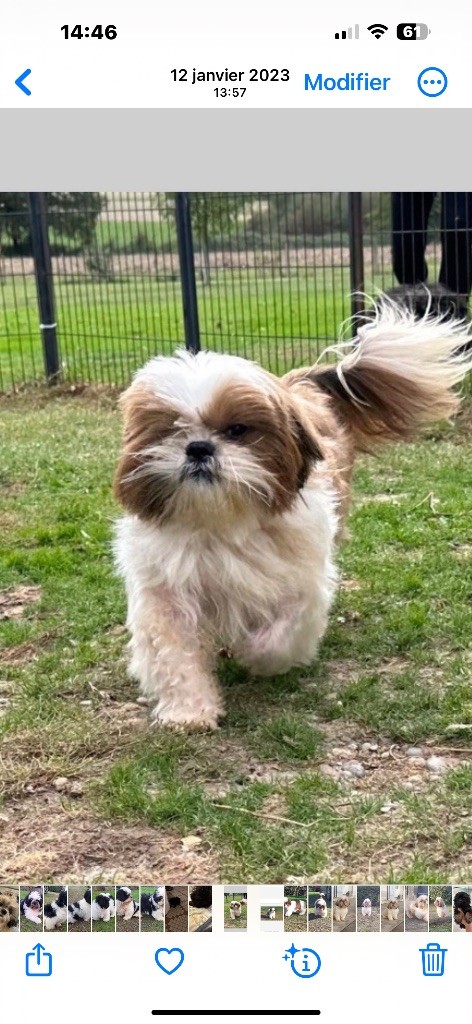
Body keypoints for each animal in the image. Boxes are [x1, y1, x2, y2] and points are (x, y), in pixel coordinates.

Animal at [115, 299, 470, 733]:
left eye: (237, 430)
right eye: (170, 431)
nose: (198, 447)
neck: (221, 522)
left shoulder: (301, 579)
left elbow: (279, 635)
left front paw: (253, 654)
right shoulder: (165, 590)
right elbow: (174, 654)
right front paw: (189, 710)